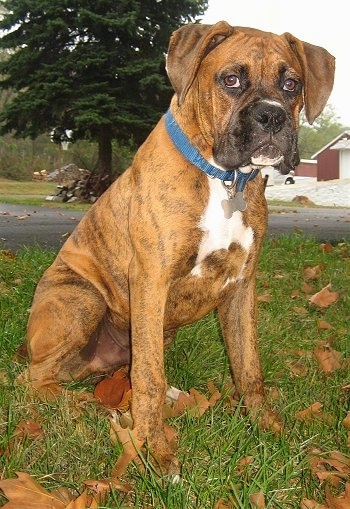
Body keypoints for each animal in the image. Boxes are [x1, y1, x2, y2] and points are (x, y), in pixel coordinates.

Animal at [21, 21, 334, 474]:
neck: (223, 178)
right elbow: (150, 377)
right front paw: (155, 450)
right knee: (36, 379)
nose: (272, 114)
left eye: (291, 84)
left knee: (116, 373)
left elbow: (248, 366)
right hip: (83, 300)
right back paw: (86, 408)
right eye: (231, 80)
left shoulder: (242, 287)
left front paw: (270, 430)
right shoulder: (152, 281)